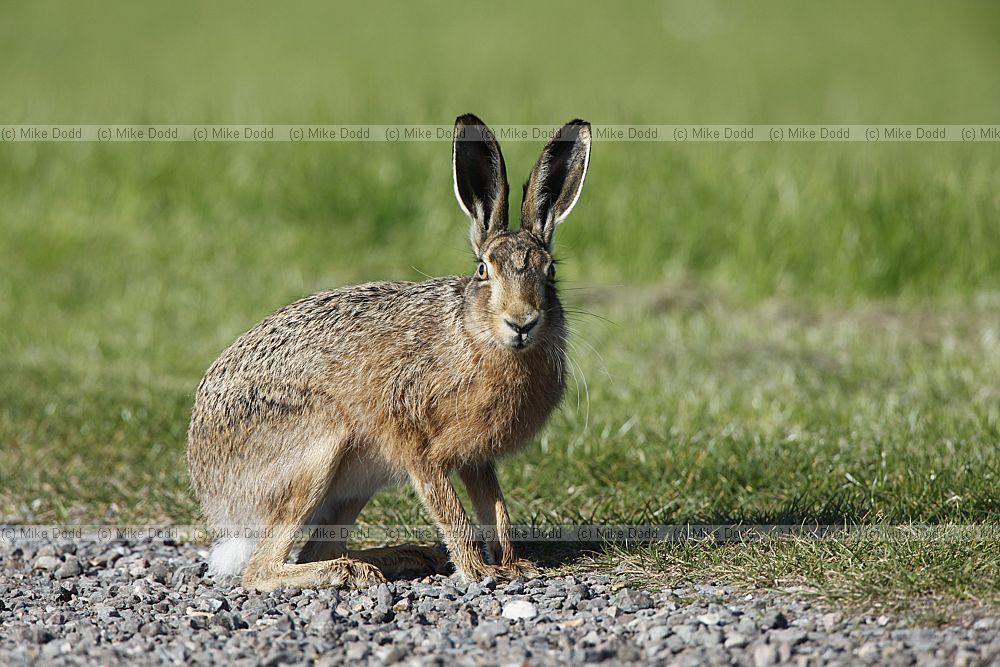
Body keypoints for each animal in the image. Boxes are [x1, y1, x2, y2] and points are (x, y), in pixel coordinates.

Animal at [186, 113, 592, 591]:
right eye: (482, 270)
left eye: (551, 272)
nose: (521, 322)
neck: (474, 335)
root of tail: (212, 492)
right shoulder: (414, 440)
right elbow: (449, 508)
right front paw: (478, 570)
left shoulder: (476, 457)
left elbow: (494, 506)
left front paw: (514, 565)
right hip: (319, 446)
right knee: (261, 569)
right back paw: (353, 570)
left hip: (354, 483)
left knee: (314, 547)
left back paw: (400, 556)